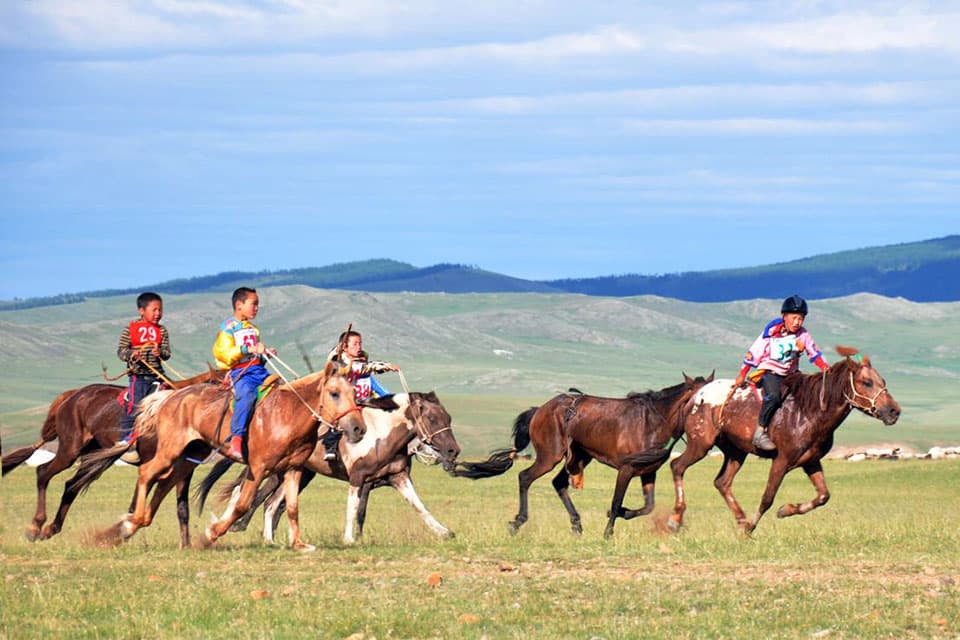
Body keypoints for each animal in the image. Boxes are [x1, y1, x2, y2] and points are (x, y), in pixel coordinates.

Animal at [1, 368, 221, 543]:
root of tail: (74, 395)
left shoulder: (184, 469)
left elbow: (182, 509)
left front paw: (186, 545)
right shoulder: (153, 464)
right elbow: (135, 505)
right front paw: (121, 535)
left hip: (93, 456)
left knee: (71, 486)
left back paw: (51, 529)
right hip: (70, 450)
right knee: (43, 472)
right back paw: (35, 526)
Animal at [79, 361, 366, 550]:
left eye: (354, 393)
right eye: (334, 393)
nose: (358, 429)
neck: (286, 414)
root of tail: (171, 396)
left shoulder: (294, 469)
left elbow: (292, 507)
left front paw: (299, 543)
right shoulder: (257, 469)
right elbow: (241, 505)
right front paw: (210, 534)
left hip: (188, 457)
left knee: (164, 483)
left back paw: (125, 527)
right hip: (170, 451)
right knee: (147, 473)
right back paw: (130, 523)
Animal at [196, 391, 461, 544]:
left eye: (449, 418)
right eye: (433, 419)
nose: (453, 452)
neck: (381, 435)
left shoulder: (398, 477)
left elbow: (420, 507)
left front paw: (444, 532)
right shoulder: (359, 478)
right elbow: (353, 509)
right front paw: (349, 539)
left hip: (298, 475)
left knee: (270, 504)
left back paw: (269, 540)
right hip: (273, 472)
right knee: (246, 495)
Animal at [452, 372, 714, 538]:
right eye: (700, 396)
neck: (654, 421)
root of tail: (540, 410)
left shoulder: (648, 471)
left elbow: (648, 506)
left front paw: (621, 513)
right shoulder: (626, 469)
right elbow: (616, 500)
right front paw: (608, 532)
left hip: (579, 456)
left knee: (558, 483)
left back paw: (577, 526)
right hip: (550, 455)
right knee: (525, 477)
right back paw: (518, 522)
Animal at [668, 346, 901, 535]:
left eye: (883, 382)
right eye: (866, 382)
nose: (894, 411)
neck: (809, 411)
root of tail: (696, 395)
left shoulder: (810, 461)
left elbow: (823, 496)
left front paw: (784, 510)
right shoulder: (781, 460)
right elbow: (767, 498)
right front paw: (752, 526)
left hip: (736, 451)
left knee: (722, 482)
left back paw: (740, 519)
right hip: (701, 444)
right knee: (677, 466)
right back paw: (675, 519)